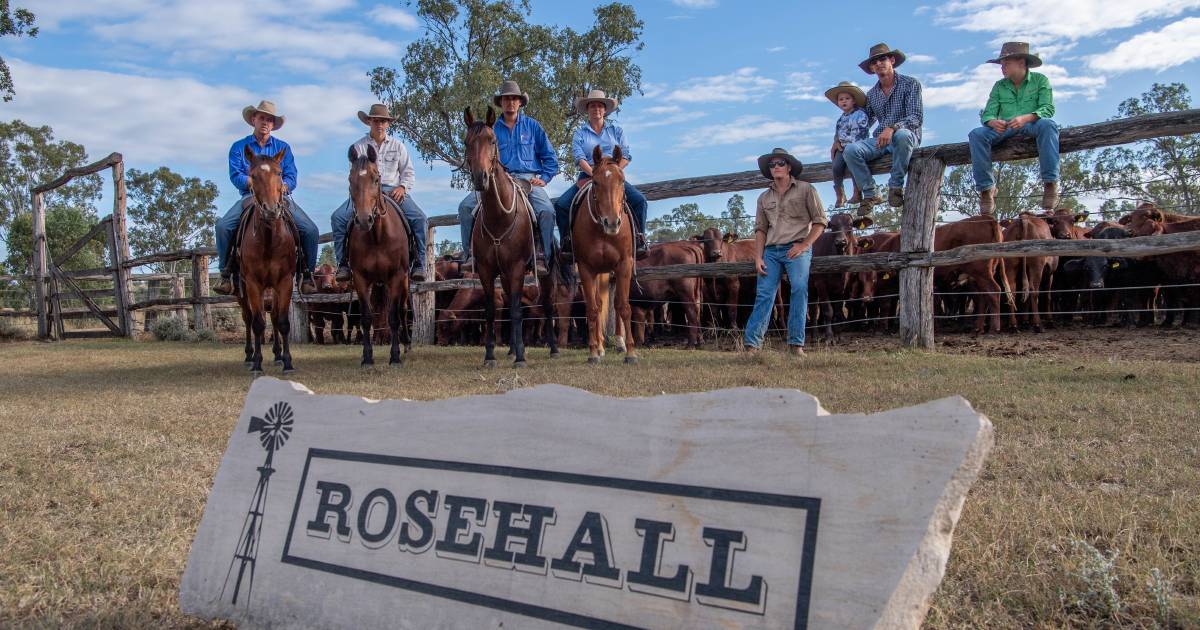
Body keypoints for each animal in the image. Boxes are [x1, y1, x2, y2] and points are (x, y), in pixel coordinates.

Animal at [237, 146, 296, 374]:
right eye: (253, 176)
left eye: (279, 173)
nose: (271, 210)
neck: (270, 240)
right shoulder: (253, 284)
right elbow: (258, 323)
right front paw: (257, 364)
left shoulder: (285, 282)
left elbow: (282, 321)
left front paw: (287, 362)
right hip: (241, 291)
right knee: (247, 318)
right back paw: (248, 355)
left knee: (273, 317)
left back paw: (278, 355)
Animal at [345, 145, 410, 364]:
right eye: (351, 180)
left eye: (376, 178)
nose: (364, 220)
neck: (377, 237)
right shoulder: (360, 278)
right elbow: (366, 317)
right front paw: (367, 357)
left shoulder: (396, 276)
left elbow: (393, 316)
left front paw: (395, 357)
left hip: (404, 280)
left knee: (402, 309)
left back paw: (407, 344)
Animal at [460, 105, 559, 364]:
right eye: (466, 142)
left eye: (492, 140)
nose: (480, 178)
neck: (498, 217)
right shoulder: (487, 270)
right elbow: (491, 312)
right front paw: (490, 355)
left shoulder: (516, 268)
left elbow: (516, 310)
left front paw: (522, 358)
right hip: (503, 275)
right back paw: (513, 348)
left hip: (547, 275)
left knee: (548, 306)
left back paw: (553, 349)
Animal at [571, 142, 638, 362]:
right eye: (596, 182)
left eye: (622, 180)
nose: (612, 222)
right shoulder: (585, 268)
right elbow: (592, 310)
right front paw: (593, 352)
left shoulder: (624, 265)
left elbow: (624, 307)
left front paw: (631, 353)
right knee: (599, 305)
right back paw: (600, 347)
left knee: (615, 305)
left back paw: (620, 343)